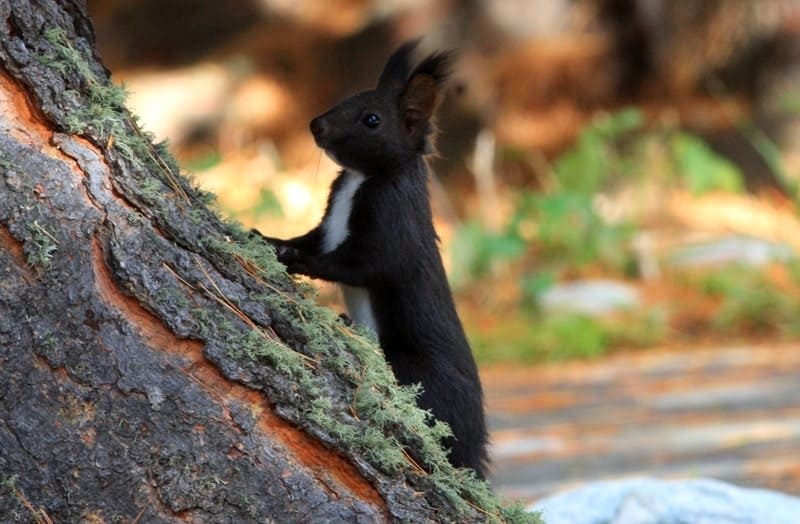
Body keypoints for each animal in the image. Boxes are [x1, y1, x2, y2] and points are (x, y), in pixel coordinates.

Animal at [254, 41, 488, 478]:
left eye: (372, 119)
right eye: (347, 97)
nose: (315, 125)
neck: (361, 178)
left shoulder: (391, 233)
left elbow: (352, 266)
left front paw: (291, 256)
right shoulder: (328, 226)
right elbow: (314, 239)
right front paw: (269, 238)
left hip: (418, 375)